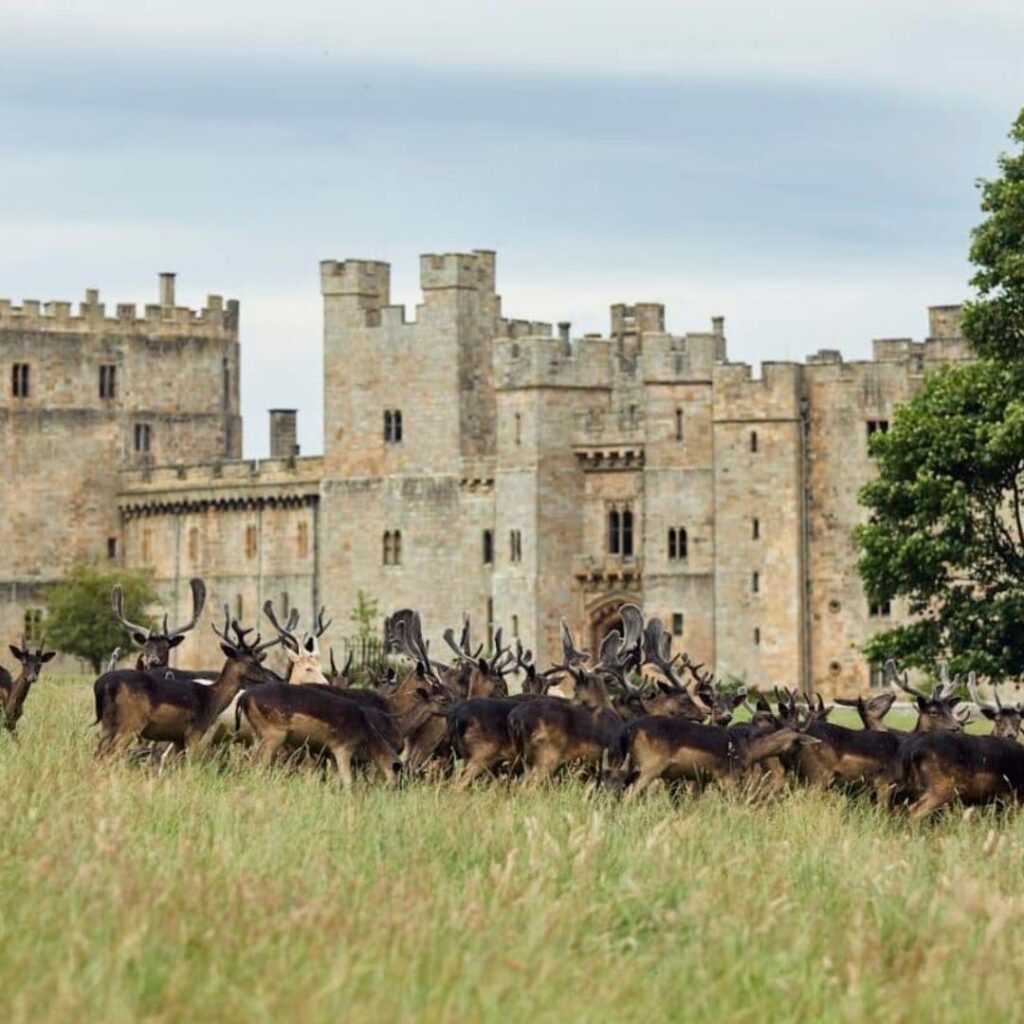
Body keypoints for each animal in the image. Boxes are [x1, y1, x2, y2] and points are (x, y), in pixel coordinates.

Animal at [94, 607, 285, 759]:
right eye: (251, 662)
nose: (274, 678)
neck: (213, 698)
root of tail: (103, 685)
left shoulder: (177, 737)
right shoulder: (194, 731)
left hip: (107, 723)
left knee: (99, 753)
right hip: (131, 722)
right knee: (113, 753)